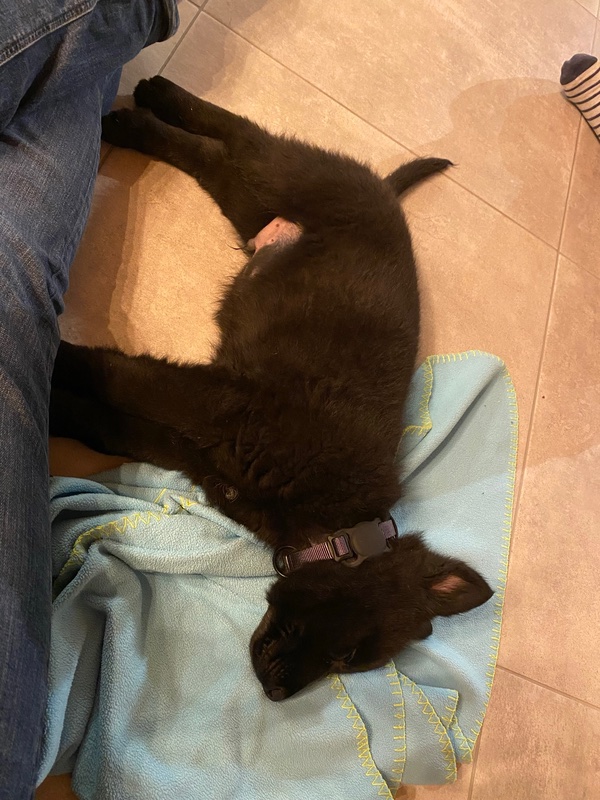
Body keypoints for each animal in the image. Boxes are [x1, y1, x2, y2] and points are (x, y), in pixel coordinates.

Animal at [50, 76, 493, 701]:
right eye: (345, 655)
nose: (278, 696)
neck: (336, 521)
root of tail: (385, 192)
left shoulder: (197, 449)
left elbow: (108, 424)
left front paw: (51, 406)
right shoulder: (213, 401)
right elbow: (114, 374)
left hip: (250, 202)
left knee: (212, 156)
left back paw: (138, 116)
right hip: (286, 178)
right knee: (243, 137)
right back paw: (149, 100)